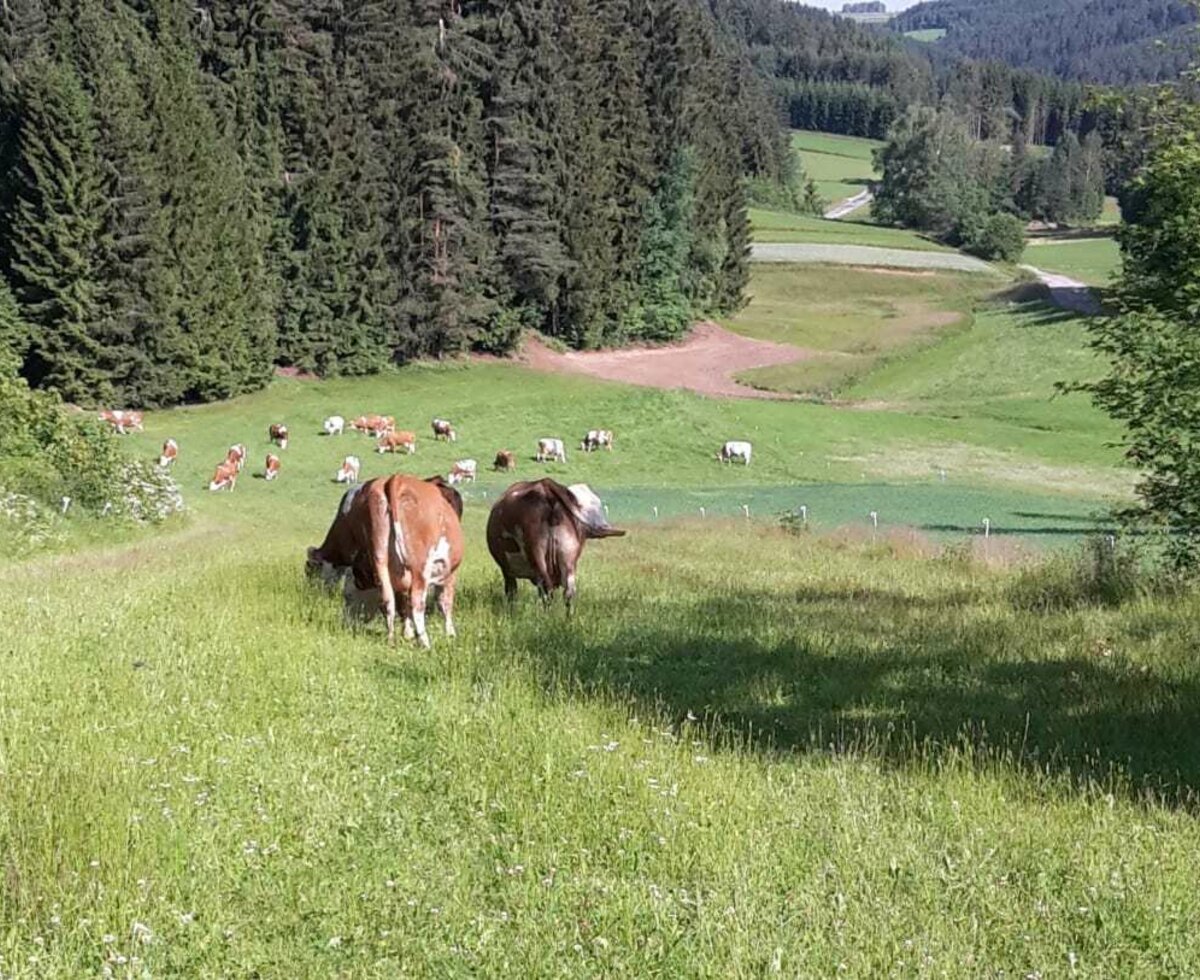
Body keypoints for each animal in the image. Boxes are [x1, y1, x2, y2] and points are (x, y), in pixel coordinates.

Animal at [304, 472, 463, 647]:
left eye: (310, 571)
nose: (347, 622)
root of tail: (395, 479)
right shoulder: (449, 572)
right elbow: (444, 602)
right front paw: (450, 634)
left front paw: (408, 633)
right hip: (420, 566)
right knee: (416, 602)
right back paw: (425, 643)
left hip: (380, 557)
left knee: (388, 599)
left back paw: (392, 638)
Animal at [482, 475, 624, 606]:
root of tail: (545, 487)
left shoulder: (507, 570)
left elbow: (511, 593)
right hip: (568, 558)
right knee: (568, 593)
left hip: (536, 555)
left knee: (546, 590)